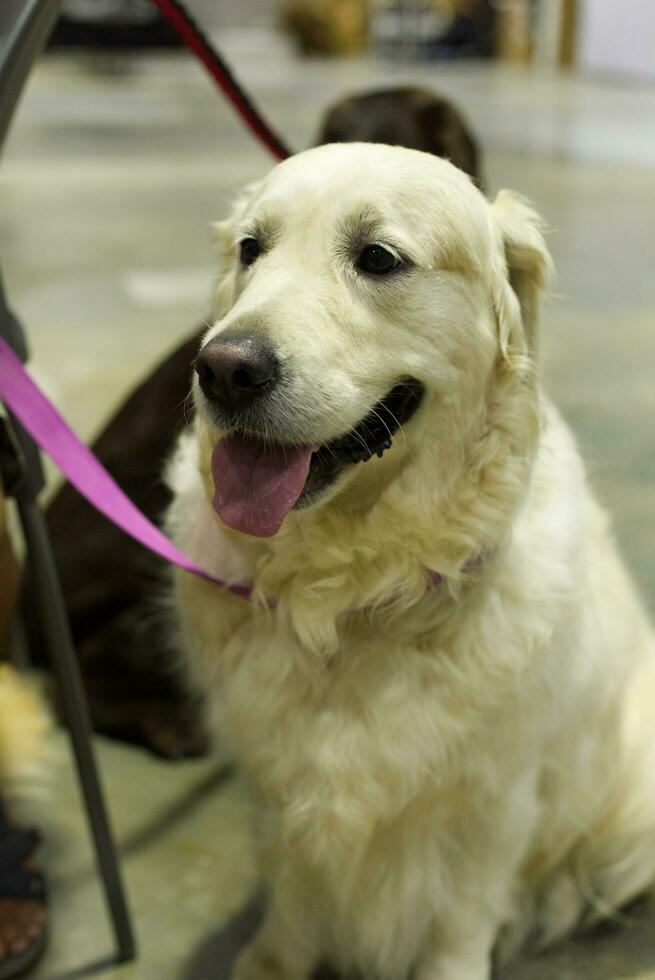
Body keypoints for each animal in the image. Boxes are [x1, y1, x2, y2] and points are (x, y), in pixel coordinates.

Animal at [165, 144, 655, 980]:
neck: (349, 594)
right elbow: (290, 903)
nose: (223, 367)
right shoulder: (278, 784)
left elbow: (460, 920)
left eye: (378, 258)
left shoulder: (492, 799)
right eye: (251, 248)